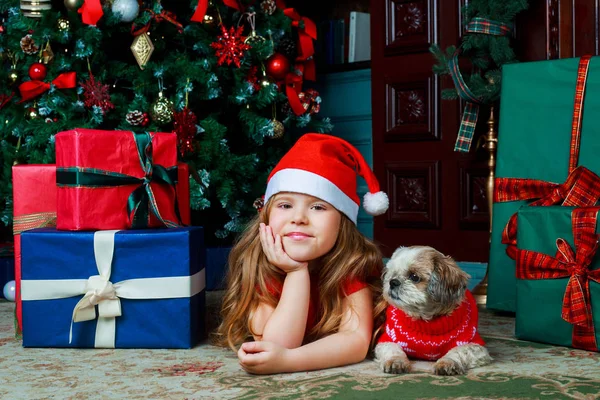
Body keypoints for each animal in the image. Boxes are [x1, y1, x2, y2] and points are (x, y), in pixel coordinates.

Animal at [376, 247, 492, 376]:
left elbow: (458, 350)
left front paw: (447, 362)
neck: (426, 321)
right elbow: (393, 350)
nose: (393, 282)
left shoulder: (475, 346)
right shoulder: (387, 339)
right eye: (392, 274)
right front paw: (396, 361)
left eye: (414, 276)